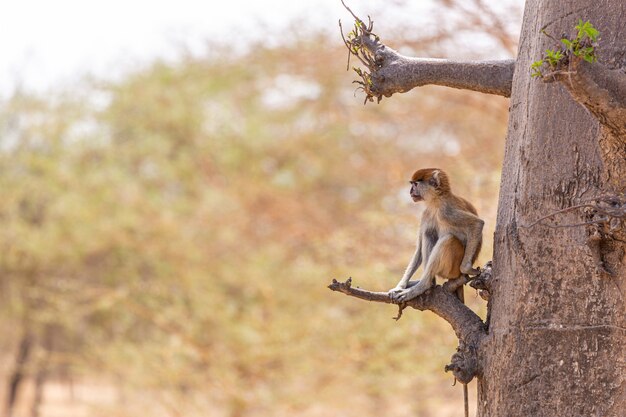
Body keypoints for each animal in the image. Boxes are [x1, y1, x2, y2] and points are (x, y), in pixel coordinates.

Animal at [386, 167, 482, 300]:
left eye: (415, 184)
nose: (410, 192)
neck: (437, 202)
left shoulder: (446, 212)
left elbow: (477, 224)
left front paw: (467, 269)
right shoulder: (426, 214)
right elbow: (419, 250)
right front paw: (399, 286)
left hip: (452, 269)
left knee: (448, 239)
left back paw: (424, 285)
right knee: (429, 234)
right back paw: (430, 284)